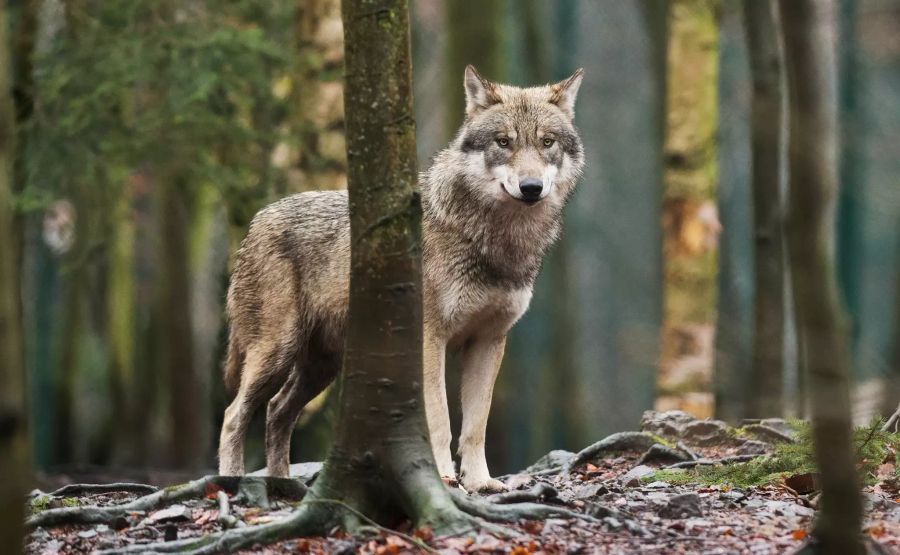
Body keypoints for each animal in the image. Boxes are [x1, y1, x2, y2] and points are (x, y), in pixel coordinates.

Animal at [217, 66, 584, 496]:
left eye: (547, 142)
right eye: (503, 142)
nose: (531, 187)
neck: (494, 240)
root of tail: (257, 219)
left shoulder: (489, 341)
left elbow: (476, 425)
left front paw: (481, 483)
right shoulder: (430, 339)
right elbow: (440, 420)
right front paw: (443, 479)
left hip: (321, 367)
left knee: (277, 411)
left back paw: (282, 485)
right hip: (277, 352)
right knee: (234, 414)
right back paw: (232, 481)